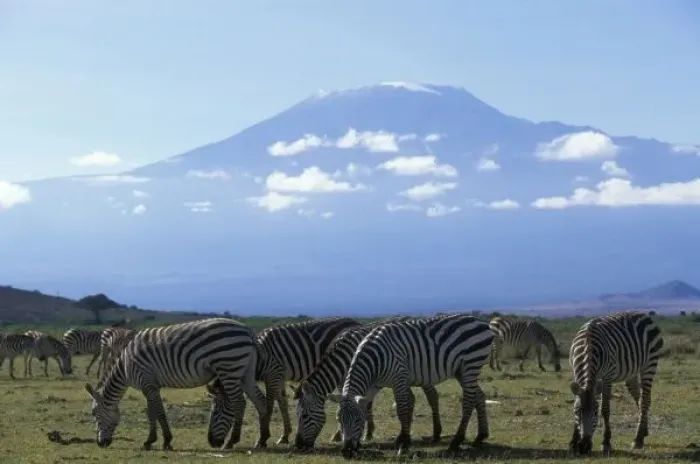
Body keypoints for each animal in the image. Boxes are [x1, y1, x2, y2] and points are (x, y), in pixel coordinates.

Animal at [84, 318, 270, 451]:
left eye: (94, 414)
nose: (100, 444)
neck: (125, 367)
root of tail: (247, 330)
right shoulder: (150, 385)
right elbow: (151, 412)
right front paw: (150, 441)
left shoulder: (147, 381)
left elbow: (158, 412)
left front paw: (166, 441)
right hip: (245, 372)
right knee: (260, 400)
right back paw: (261, 440)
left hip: (229, 367)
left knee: (240, 402)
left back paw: (231, 441)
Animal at [208, 317, 362, 448]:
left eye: (216, 412)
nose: (211, 442)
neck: (257, 357)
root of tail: (356, 323)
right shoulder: (279, 377)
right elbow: (283, 404)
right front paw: (284, 436)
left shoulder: (273, 374)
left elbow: (269, 406)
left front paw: (262, 439)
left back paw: (338, 435)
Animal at [292, 316, 443, 450]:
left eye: (304, 416)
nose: (298, 445)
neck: (342, 359)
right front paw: (353, 435)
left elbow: (360, 406)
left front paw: (351, 436)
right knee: (411, 399)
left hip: (422, 373)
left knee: (432, 396)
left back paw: (436, 434)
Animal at [329, 314, 494, 458]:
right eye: (338, 420)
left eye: (357, 420)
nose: (346, 452)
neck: (375, 361)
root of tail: (480, 321)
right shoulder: (374, 385)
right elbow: (370, 405)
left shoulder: (399, 379)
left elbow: (402, 411)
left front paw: (404, 444)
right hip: (461, 371)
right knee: (479, 396)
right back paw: (480, 437)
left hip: (470, 366)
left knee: (468, 401)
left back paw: (456, 442)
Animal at [568, 311, 663, 455]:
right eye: (578, 412)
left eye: (595, 413)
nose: (584, 447)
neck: (588, 347)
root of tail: (643, 314)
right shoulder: (575, 374)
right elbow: (576, 402)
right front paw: (573, 442)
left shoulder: (607, 378)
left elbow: (605, 409)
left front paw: (606, 442)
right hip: (631, 373)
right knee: (639, 398)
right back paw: (644, 431)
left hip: (649, 364)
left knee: (645, 400)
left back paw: (638, 439)